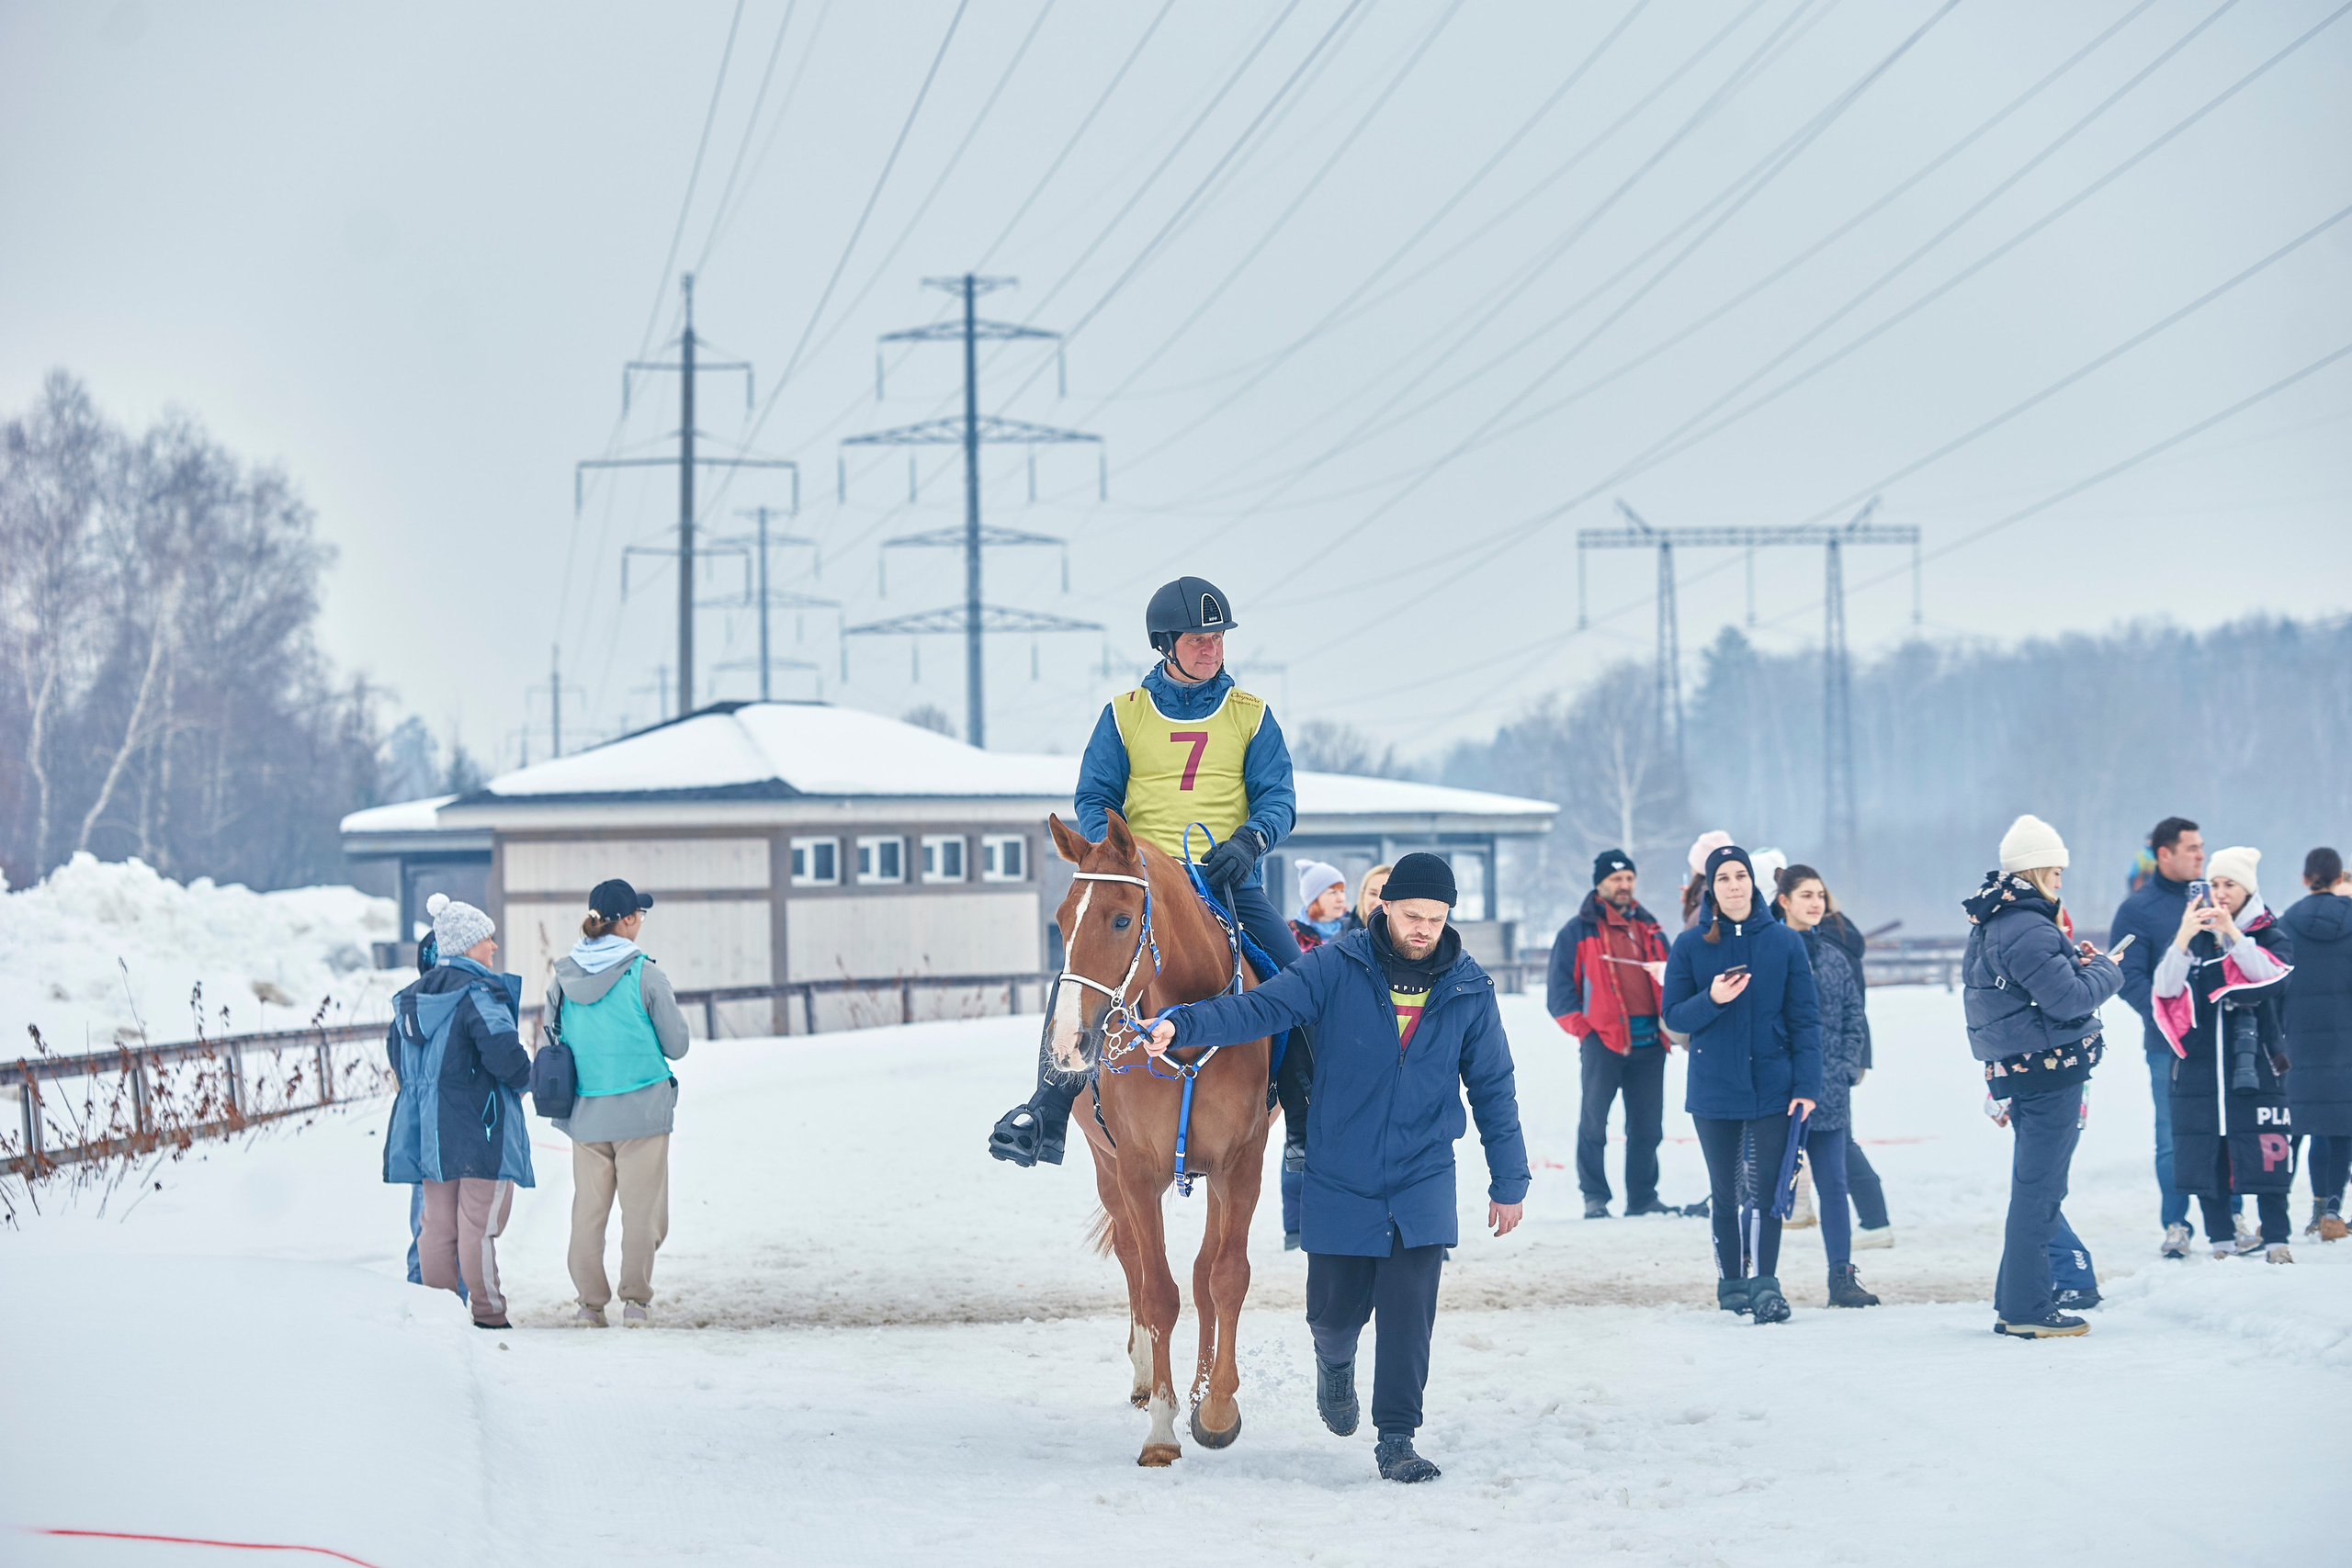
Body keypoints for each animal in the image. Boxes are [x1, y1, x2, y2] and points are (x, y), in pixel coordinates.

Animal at [1045, 808, 1277, 1468]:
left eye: (1122, 918)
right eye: (1062, 919)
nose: (1069, 1041)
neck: (1189, 1025)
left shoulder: (1240, 1164)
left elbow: (1223, 1277)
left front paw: (1216, 1407)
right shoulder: (1138, 1171)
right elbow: (1157, 1294)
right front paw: (1162, 1428)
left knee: (1203, 1272)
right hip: (1107, 1168)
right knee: (1132, 1261)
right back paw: (1147, 1378)